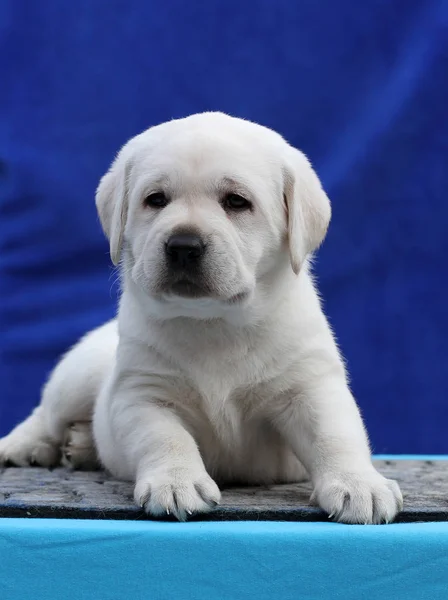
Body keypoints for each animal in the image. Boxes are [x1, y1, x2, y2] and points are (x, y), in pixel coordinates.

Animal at [0, 113, 402, 524]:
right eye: (156, 200)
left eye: (237, 202)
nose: (183, 245)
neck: (214, 323)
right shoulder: (143, 394)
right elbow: (165, 438)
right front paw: (176, 482)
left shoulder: (310, 385)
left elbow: (334, 434)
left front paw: (358, 484)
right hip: (77, 378)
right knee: (45, 414)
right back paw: (23, 446)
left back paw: (80, 446)